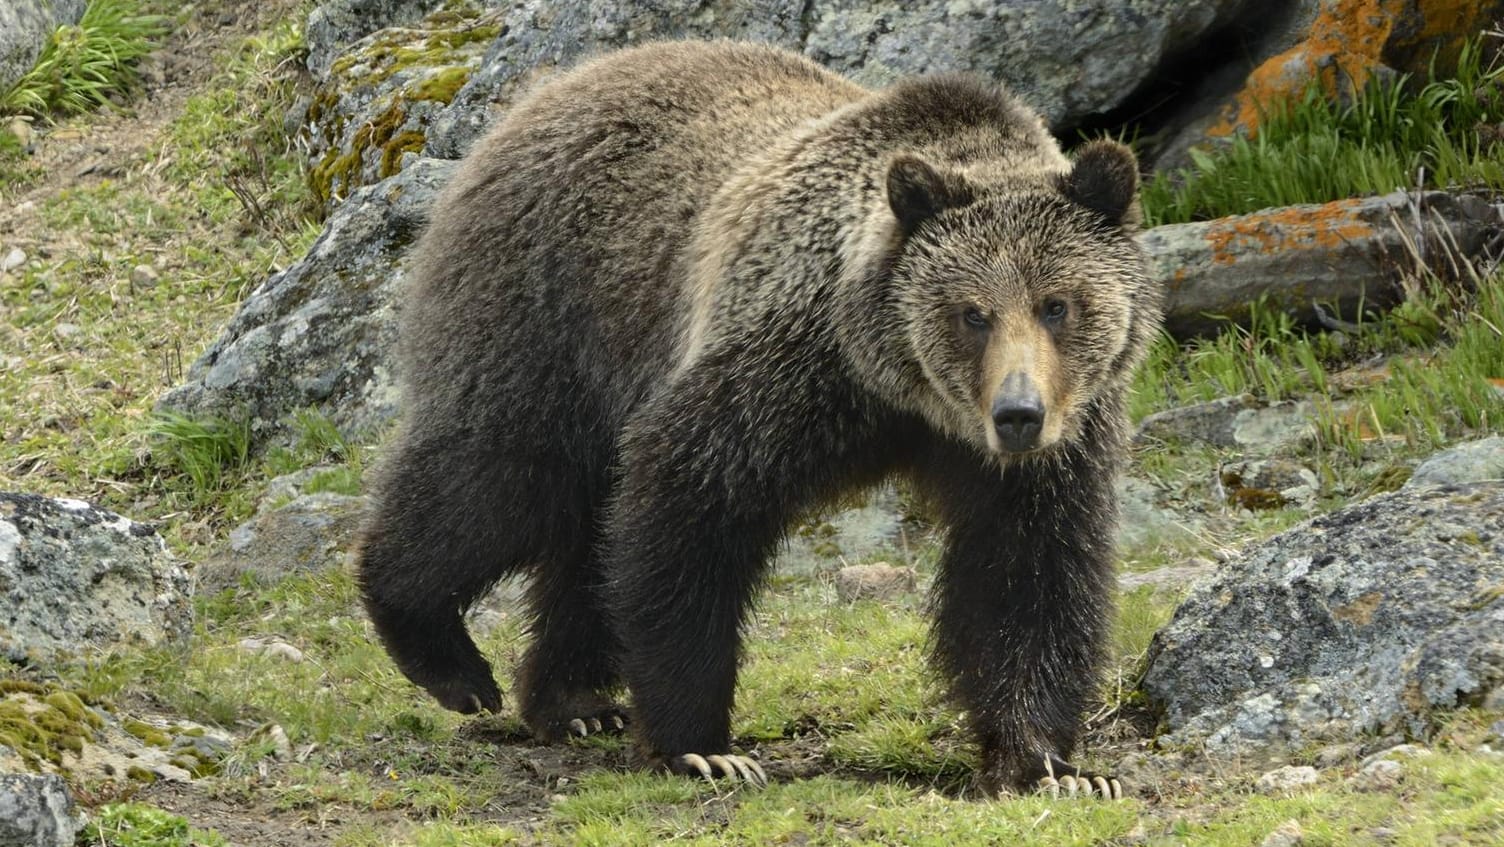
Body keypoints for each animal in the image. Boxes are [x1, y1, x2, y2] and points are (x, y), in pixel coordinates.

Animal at [354, 38, 1161, 794]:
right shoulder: (784, 367)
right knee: (505, 476)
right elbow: (691, 505)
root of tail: (545, 90)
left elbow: (1027, 575)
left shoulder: (1052, 444)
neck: (903, 394)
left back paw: (576, 701)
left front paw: (1049, 762)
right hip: (553, 308)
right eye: (972, 313)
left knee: (585, 531)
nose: (1018, 413)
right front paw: (702, 746)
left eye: (1057, 304)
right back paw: (443, 653)